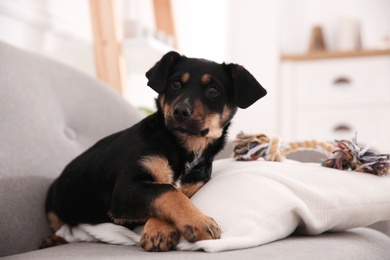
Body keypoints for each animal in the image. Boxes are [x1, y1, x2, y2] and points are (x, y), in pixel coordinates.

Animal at [41, 51, 266, 252]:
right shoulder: (125, 190)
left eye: (213, 90)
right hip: (53, 200)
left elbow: (171, 193)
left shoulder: (191, 187)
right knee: (57, 224)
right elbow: (167, 191)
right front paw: (199, 222)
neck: (184, 147)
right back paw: (51, 239)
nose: (180, 112)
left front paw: (159, 231)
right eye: (175, 84)